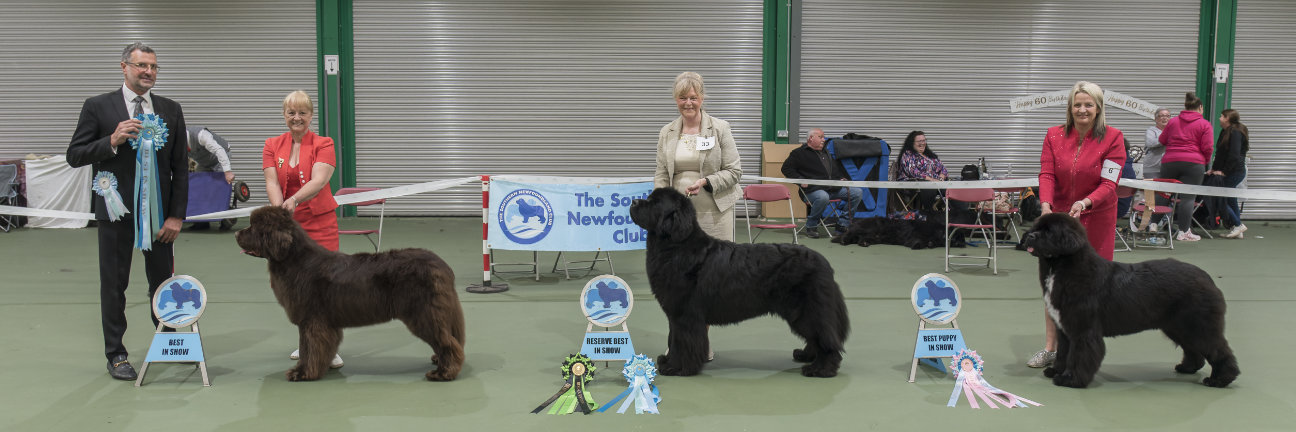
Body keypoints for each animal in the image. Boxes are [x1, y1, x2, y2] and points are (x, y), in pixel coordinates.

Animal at [627, 186, 850, 376]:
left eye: (655, 203)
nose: (633, 201)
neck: (676, 245)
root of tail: (823, 262)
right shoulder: (675, 314)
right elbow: (672, 338)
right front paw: (668, 361)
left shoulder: (685, 314)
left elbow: (681, 342)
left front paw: (677, 368)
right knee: (817, 337)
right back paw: (806, 356)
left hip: (806, 310)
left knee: (826, 339)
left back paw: (821, 369)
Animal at [1021, 211, 1233, 386]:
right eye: (1036, 228)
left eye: (1049, 232)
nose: (1030, 236)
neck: (1062, 266)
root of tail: (1206, 277)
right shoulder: (1064, 328)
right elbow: (1063, 352)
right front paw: (1056, 371)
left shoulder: (1083, 329)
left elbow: (1079, 355)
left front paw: (1070, 379)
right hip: (1178, 326)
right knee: (1193, 349)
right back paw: (1188, 368)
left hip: (1199, 324)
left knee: (1218, 348)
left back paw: (1221, 379)